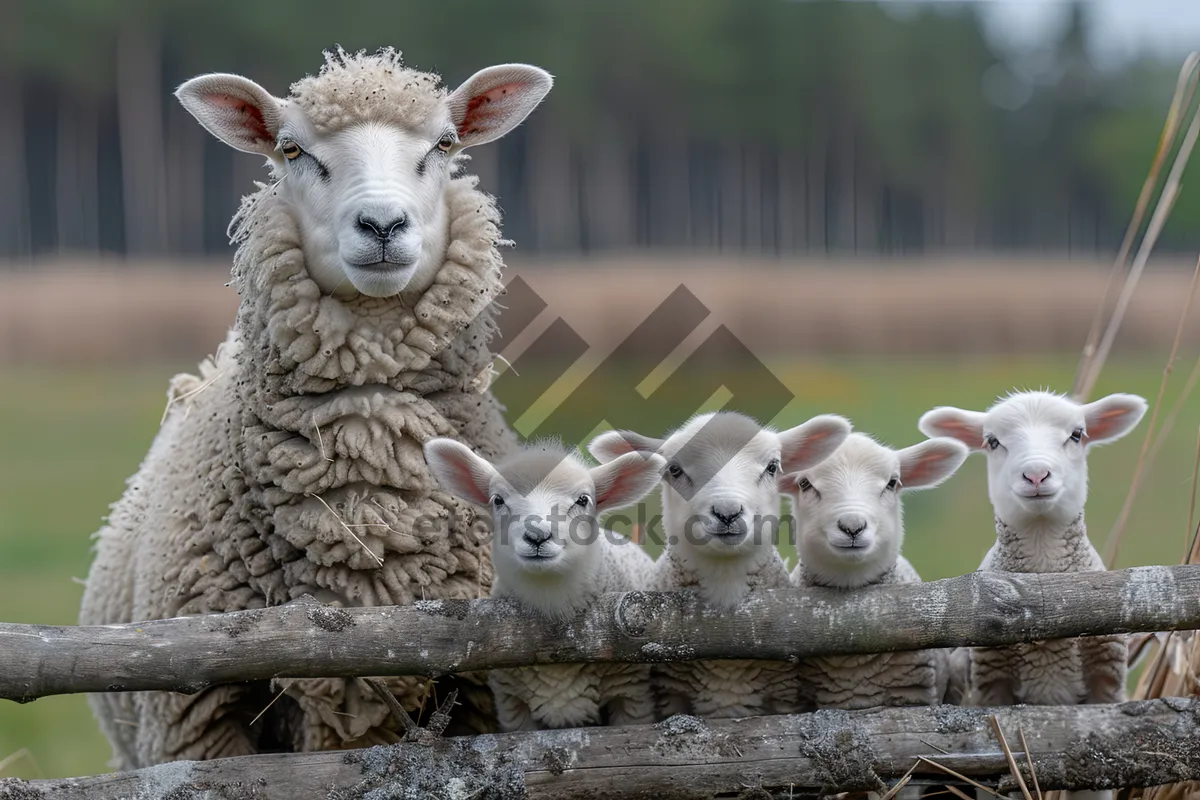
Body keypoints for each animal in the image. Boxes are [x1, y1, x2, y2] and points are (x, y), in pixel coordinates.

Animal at [422, 438, 667, 734]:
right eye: (498, 500)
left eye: (583, 500)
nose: (537, 535)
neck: (552, 608)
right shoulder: (513, 705)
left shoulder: (631, 694)